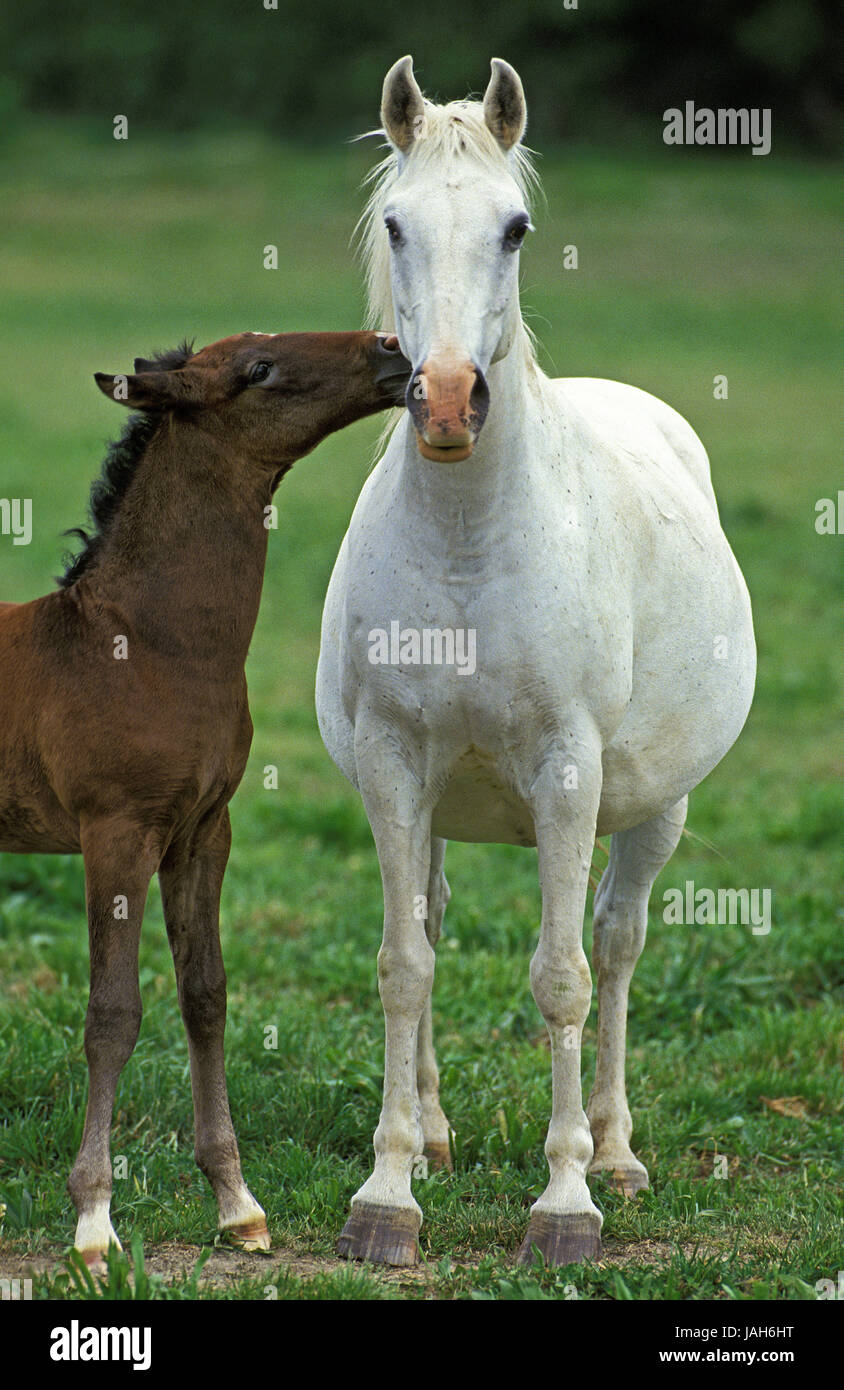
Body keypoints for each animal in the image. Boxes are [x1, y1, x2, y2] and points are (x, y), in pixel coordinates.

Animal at [0, 330, 408, 1267]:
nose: (393, 350)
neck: (148, 646)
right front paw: (93, 1223)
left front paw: (237, 1204)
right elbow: (114, 1013)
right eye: (257, 370)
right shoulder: (116, 834)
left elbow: (206, 995)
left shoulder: (201, 832)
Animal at [317, 56, 761, 1273]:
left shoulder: (567, 773)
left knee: (615, 948)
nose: (448, 399)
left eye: (514, 228)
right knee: (429, 924)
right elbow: (403, 965)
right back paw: (434, 1135)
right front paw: (389, 1190)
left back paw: (615, 1152)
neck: (471, 542)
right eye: (396, 223)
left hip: (652, 808)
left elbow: (563, 978)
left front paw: (565, 1204)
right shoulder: (393, 765)